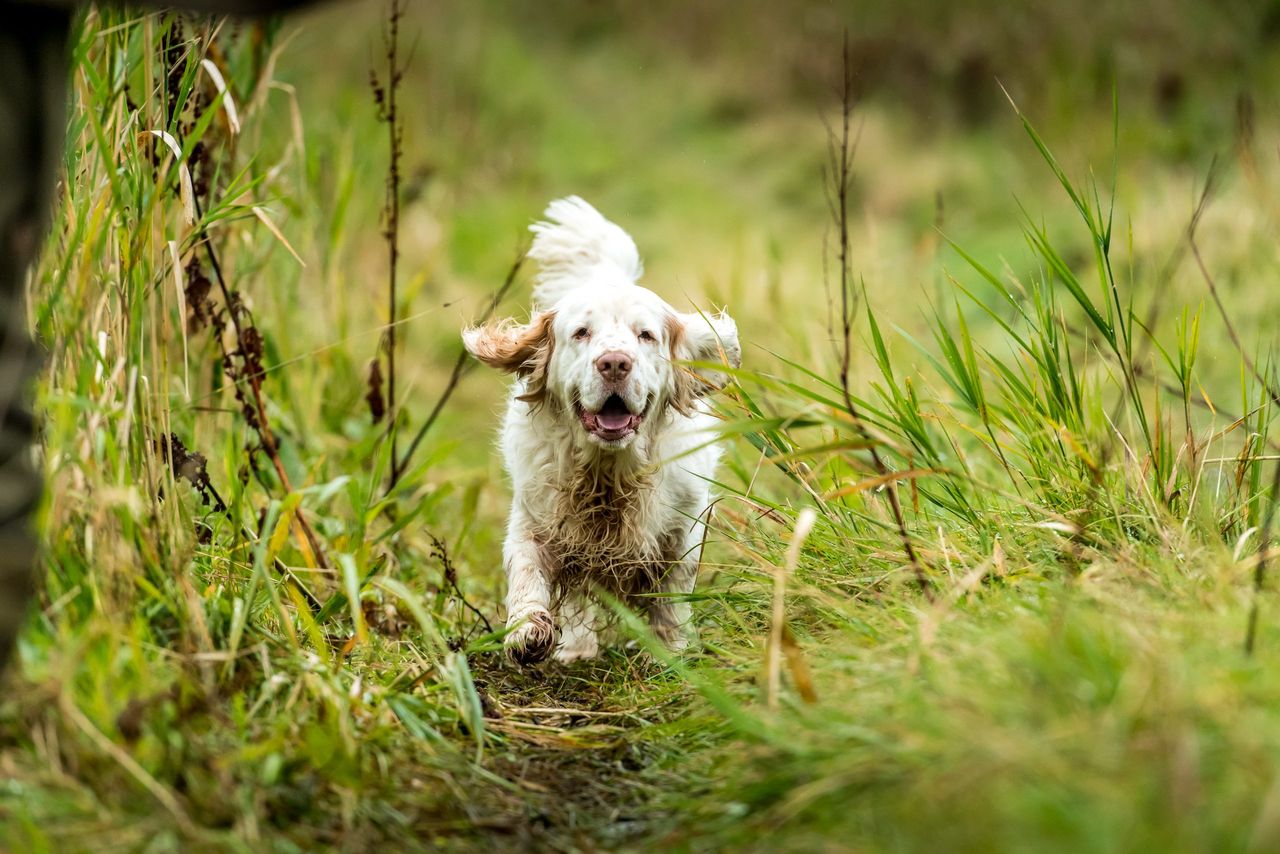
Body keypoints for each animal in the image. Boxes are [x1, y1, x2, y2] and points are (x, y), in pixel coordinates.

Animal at [460, 197, 742, 665]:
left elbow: (672, 597)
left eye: (645, 335)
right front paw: (528, 631)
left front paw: (669, 653)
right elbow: (527, 571)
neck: (608, 473)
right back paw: (577, 649)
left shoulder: (682, 530)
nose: (614, 363)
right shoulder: (536, 518)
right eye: (581, 332)